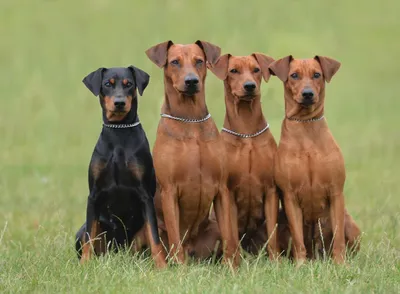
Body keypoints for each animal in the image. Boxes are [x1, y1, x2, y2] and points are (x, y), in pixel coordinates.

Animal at [75, 65, 167, 268]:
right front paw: (84, 265)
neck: (119, 134)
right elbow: (89, 237)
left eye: (129, 84)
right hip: (84, 231)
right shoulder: (93, 195)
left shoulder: (145, 196)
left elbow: (155, 237)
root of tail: (119, 250)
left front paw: (161, 266)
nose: (119, 103)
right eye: (107, 84)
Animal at [147, 39, 241, 266]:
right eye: (174, 62)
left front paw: (231, 269)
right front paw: (180, 270)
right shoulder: (169, 191)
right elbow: (175, 240)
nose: (191, 81)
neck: (190, 120)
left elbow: (229, 238)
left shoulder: (221, 190)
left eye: (199, 61)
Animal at [211, 54, 280, 258]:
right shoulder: (227, 193)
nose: (249, 86)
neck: (247, 131)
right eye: (233, 70)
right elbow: (231, 236)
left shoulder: (271, 190)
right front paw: (232, 263)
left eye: (256, 69)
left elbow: (273, 237)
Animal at [268, 56, 362, 266]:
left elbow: (338, 237)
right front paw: (300, 265)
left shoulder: (335, 192)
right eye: (294, 75)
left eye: (317, 74)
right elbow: (298, 240)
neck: (306, 126)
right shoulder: (290, 197)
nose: (308, 94)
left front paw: (340, 265)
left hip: (351, 225)